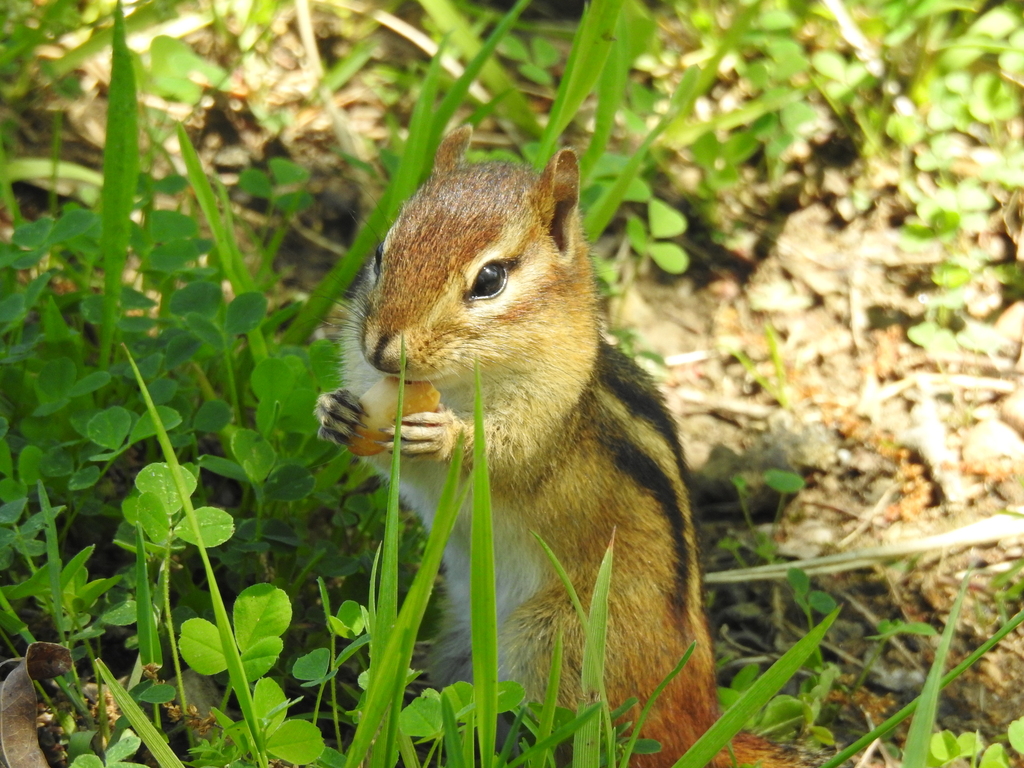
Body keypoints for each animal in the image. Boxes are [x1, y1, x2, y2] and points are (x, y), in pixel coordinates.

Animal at [315, 126, 812, 768]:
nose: (381, 351)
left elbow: (503, 454)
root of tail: (700, 717)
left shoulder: (547, 421)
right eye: (380, 253)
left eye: (489, 280)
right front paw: (336, 412)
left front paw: (448, 435)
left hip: (554, 641)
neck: (462, 382)